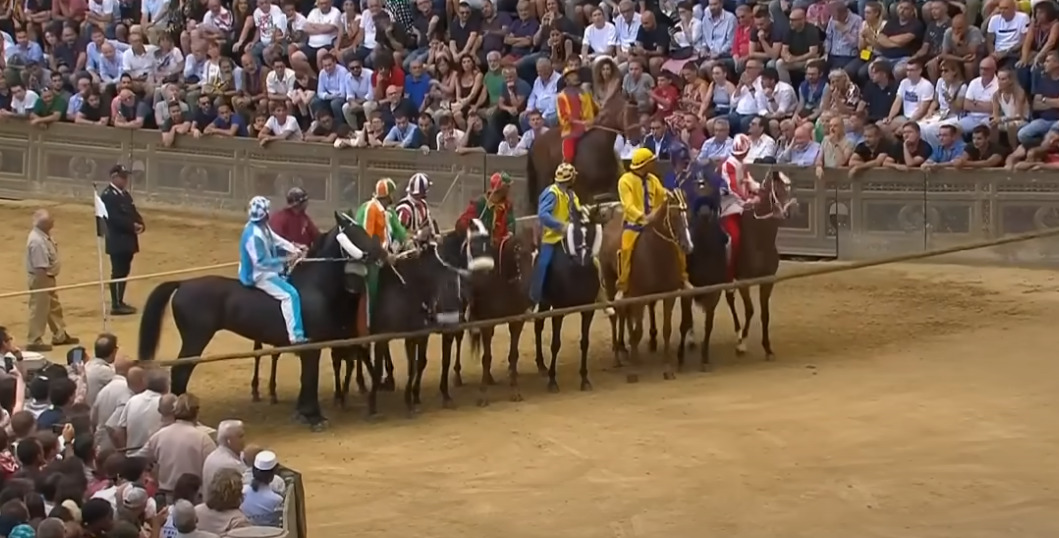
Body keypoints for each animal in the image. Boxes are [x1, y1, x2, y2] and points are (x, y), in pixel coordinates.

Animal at [136, 211, 385, 429]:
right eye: (354, 233)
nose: (382, 254)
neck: (314, 286)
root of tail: (182, 284)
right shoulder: (311, 347)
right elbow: (310, 379)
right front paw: (313, 417)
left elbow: (306, 380)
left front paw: (303, 413)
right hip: (195, 340)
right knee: (180, 372)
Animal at [533, 203, 609, 393]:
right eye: (574, 231)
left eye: (591, 231)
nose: (582, 259)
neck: (576, 272)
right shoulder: (558, 311)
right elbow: (555, 344)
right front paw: (552, 381)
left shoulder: (587, 310)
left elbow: (585, 342)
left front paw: (585, 379)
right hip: (544, 303)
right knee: (538, 328)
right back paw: (542, 366)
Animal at [601, 190, 698, 383]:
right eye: (674, 215)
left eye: (688, 213)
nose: (688, 245)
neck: (655, 253)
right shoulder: (640, 297)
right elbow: (637, 332)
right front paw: (633, 371)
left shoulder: (668, 295)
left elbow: (666, 329)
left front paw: (667, 368)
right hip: (610, 282)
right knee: (615, 316)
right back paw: (618, 356)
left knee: (624, 315)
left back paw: (625, 350)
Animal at [720, 170, 796, 360]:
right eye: (777, 190)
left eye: (789, 187)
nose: (790, 211)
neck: (759, 239)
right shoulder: (743, 282)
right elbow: (750, 310)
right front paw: (741, 346)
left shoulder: (767, 281)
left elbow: (764, 313)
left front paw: (767, 348)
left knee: (729, 298)